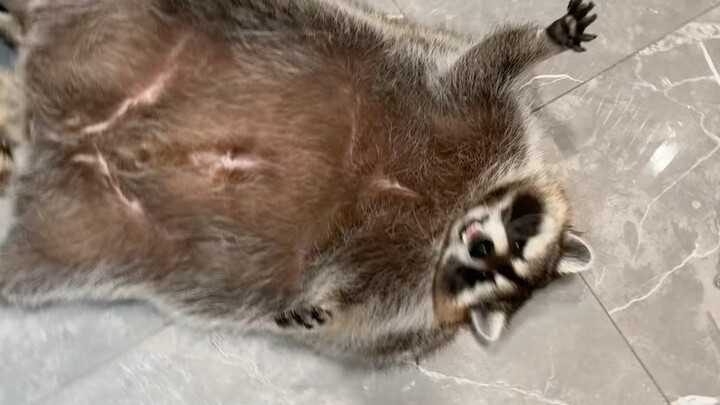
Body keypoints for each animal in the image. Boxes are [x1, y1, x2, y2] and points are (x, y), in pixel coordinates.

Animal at [0, 0, 596, 365]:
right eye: (517, 235)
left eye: (486, 278)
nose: (477, 245)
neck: (453, 206)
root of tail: (59, 128)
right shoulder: (491, 119)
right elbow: (488, 64)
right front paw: (550, 37)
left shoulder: (406, 300)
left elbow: (361, 305)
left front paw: (325, 305)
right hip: (166, 18)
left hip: (89, 238)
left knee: (28, 268)